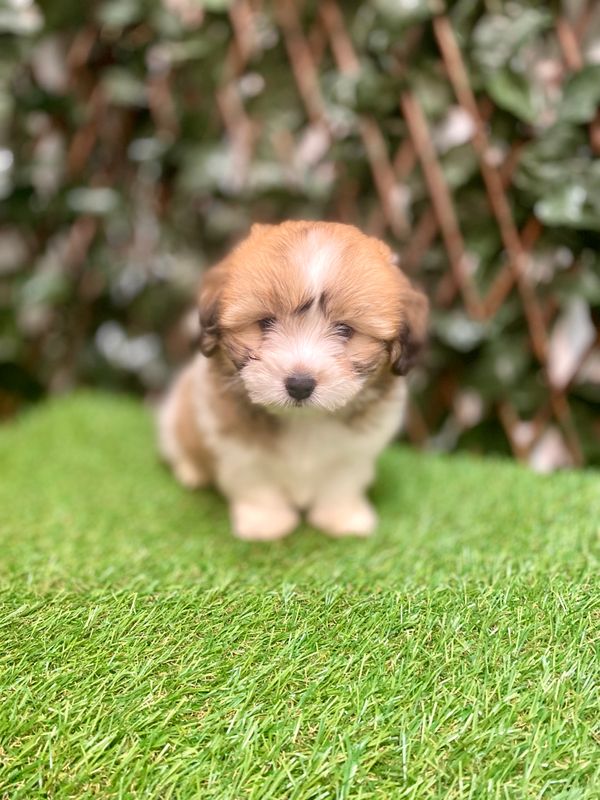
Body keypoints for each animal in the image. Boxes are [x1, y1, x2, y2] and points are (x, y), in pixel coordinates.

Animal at [157, 222, 428, 540]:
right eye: (265, 323)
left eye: (345, 330)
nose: (300, 385)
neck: (304, 421)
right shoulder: (237, 446)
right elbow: (256, 483)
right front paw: (265, 523)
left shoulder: (355, 451)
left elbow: (341, 481)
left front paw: (342, 517)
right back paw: (192, 472)